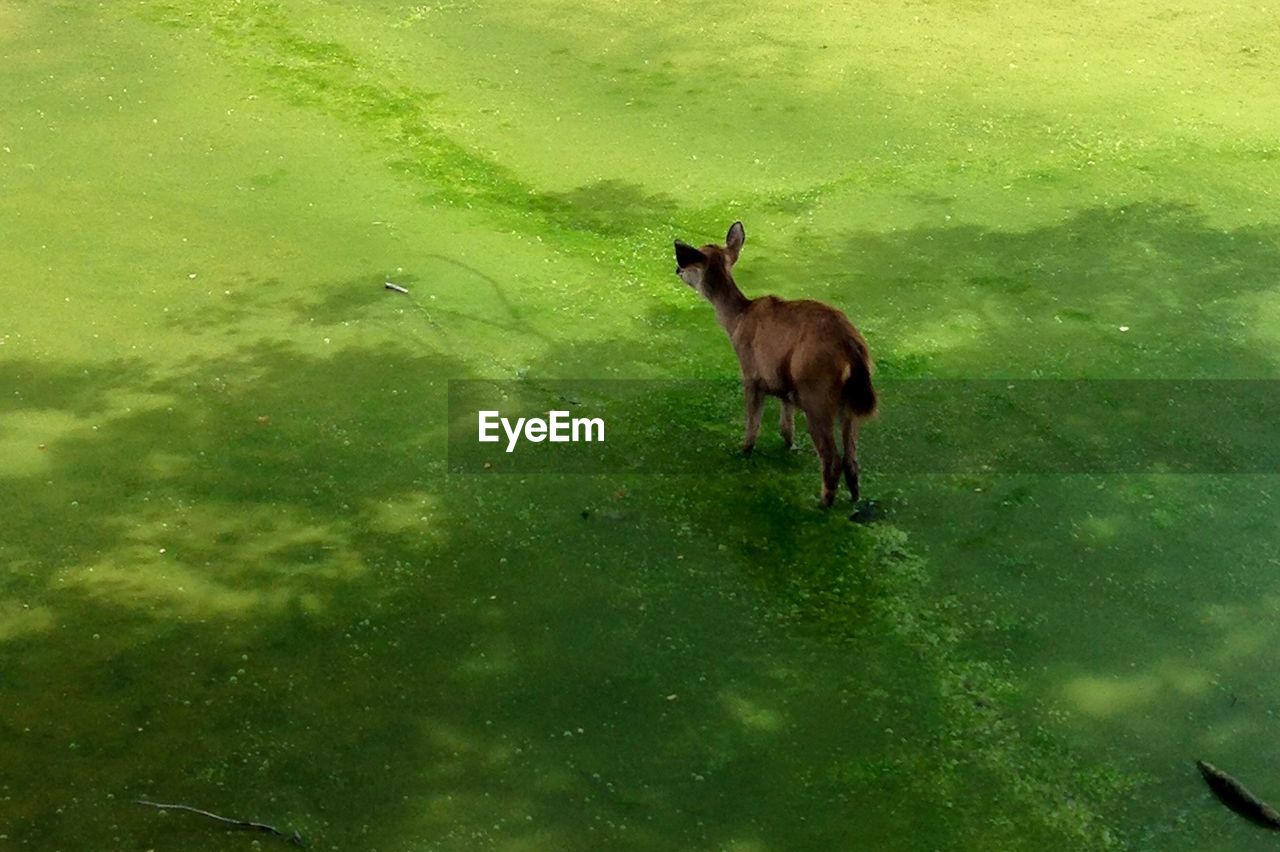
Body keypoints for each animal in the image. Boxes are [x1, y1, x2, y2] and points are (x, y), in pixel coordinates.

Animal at [675, 220, 875, 511]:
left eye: (688, 262)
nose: (677, 269)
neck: (736, 320)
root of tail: (853, 350)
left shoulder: (752, 373)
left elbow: (753, 421)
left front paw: (744, 450)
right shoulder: (783, 382)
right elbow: (785, 423)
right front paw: (789, 444)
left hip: (816, 392)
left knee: (832, 458)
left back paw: (822, 503)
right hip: (847, 405)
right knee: (852, 458)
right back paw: (853, 499)